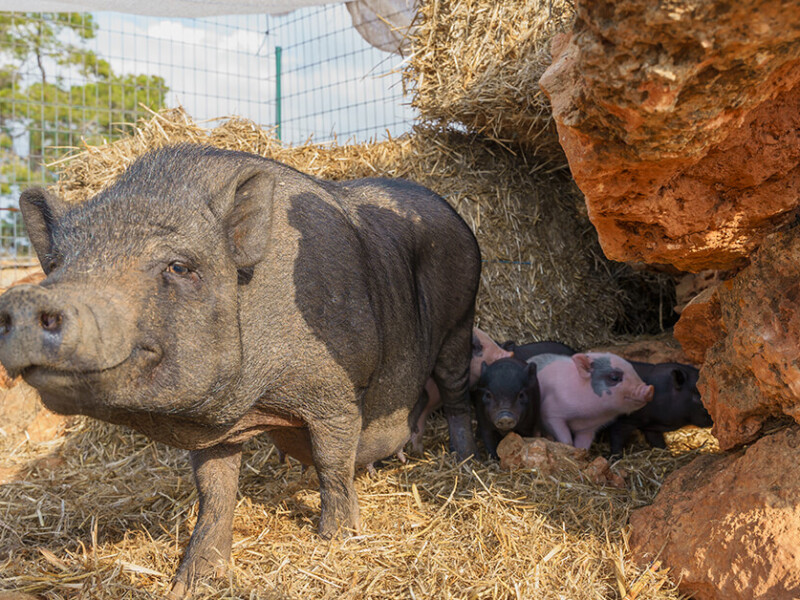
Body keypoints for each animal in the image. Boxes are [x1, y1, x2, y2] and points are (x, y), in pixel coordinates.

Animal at [0, 144, 478, 596]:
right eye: (57, 265)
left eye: (179, 266)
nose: (25, 300)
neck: (255, 402)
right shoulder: (214, 432)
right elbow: (214, 494)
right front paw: (191, 583)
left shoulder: (336, 393)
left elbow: (332, 465)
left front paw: (336, 539)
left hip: (460, 321)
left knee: (456, 392)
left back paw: (465, 462)